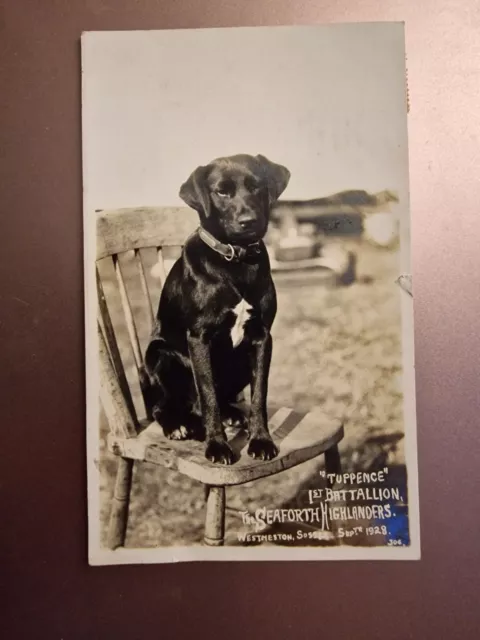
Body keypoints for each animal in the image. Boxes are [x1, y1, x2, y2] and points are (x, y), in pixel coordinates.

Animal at [144, 155, 290, 464]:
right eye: (221, 192)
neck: (235, 260)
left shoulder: (261, 338)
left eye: (256, 186)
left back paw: (233, 415)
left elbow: (259, 395)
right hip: (159, 356)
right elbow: (208, 395)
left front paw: (261, 440)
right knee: (166, 407)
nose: (248, 221)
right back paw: (178, 426)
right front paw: (218, 447)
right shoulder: (199, 338)